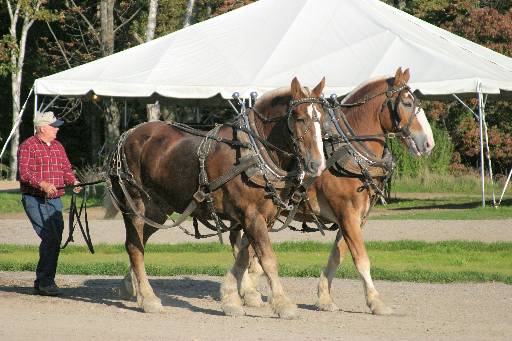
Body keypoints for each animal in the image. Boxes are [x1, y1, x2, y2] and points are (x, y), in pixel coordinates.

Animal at [106, 77, 326, 316]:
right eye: (299, 117)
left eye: (322, 119)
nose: (317, 164)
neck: (254, 151)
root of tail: (127, 136)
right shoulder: (252, 216)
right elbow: (267, 258)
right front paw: (283, 304)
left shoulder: (257, 218)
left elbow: (243, 256)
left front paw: (231, 298)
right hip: (135, 205)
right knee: (134, 247)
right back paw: (148, 298)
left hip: (157, 211)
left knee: (139, 242)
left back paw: (132, 289)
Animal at [226, 66, 434, 316]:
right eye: (407, 103)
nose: (429, 143)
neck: (349, 149)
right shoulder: (346, 212)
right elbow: (361, 258)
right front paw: (375, 301)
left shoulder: (355, 217)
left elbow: (338, 254)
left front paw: (324, 297)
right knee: (239, 243)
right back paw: (247, 290)